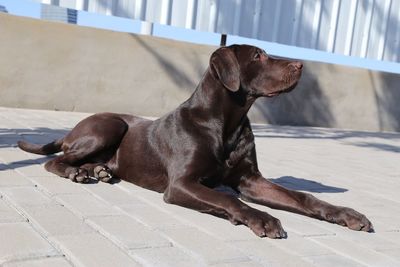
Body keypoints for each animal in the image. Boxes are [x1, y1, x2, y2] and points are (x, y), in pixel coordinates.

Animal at [18, 44, 372, 239]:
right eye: (259, 55)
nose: (301, 65)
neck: (227, 123)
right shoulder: (182, 184)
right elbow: (228, 199)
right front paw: (261, 218)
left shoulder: (251, 180)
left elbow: (303, 197)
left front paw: (346, 213)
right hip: (109, 125)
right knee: (56, 159)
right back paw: (76, 172)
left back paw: (99, 171)